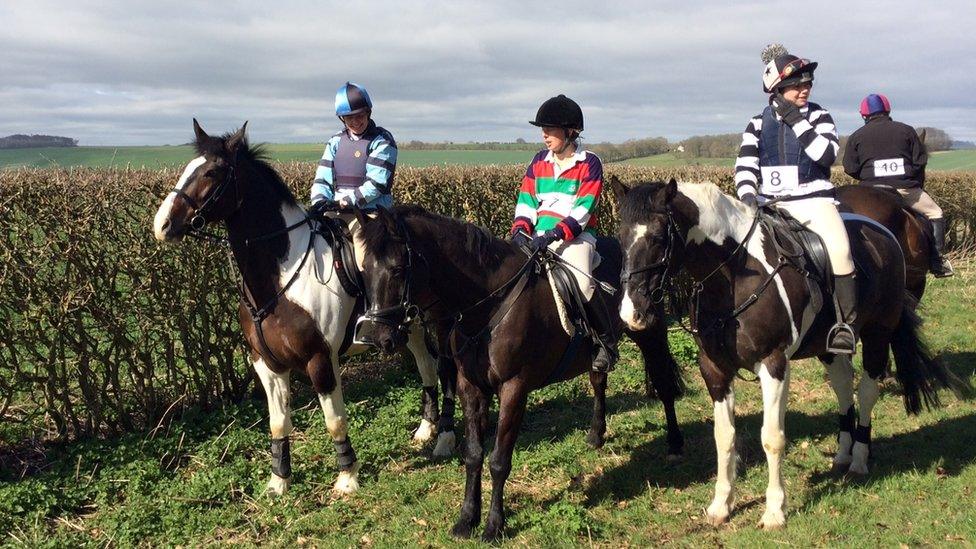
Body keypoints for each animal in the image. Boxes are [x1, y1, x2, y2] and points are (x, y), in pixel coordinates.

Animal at [152, 120, 454, 496]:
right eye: (187, 167)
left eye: (212, 171)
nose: (162, 225)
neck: (280, 279)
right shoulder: (267, 364)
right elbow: (278, 423)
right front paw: (279, 481)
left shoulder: (320, 359)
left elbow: (335, 420)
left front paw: (347, 477)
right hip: (408, 328)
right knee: (426, 367)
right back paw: (425, 431)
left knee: (446, 372)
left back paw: (444, 437)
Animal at [354, 204, 684, 540]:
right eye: (364, 270)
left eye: (397, 269)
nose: (374, 336)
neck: (488, 303)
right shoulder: (470, 388)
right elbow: (473, 454)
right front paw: (466, 519)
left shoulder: (514, 389)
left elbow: (499, 460)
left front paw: (494, 525)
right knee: (598, 381)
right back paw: (595, 435)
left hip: (649, 332)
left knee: (664, 383)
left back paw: (674, 445)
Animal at [612, 179, 964, 528]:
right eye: (620, 237)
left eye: (658, 237)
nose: (633, 313)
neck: (733, 275)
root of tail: (885, 232)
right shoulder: (714, 369)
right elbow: (724, 436)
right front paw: (721, 505)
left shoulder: (773, 365)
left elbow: (772, 437)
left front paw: (774, 511)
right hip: (828, 348)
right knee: (842, 388)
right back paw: (843, 453)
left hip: (878, 334)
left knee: (865, 392)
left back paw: (860, 459)